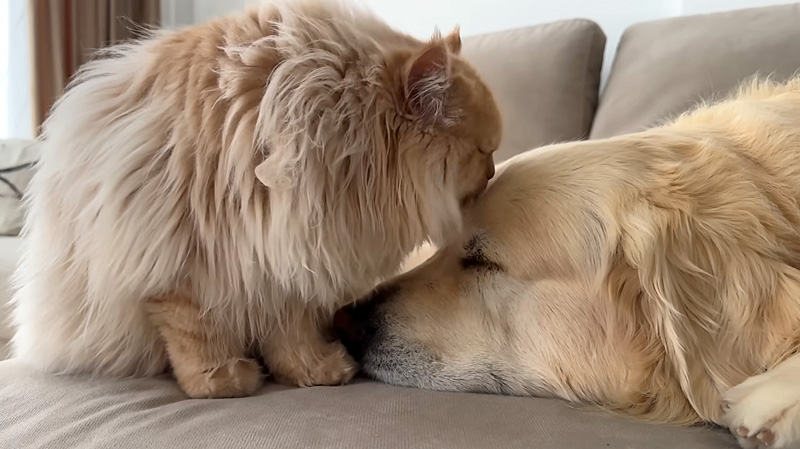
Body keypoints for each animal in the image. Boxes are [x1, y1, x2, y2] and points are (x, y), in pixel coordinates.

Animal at [10, 0, 500, 400]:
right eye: (483, 152)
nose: (494, 171)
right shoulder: (190, 261)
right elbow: (196, 333)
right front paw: (222, 380)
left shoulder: (287, 264)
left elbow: (291, 333)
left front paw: (314, 371)